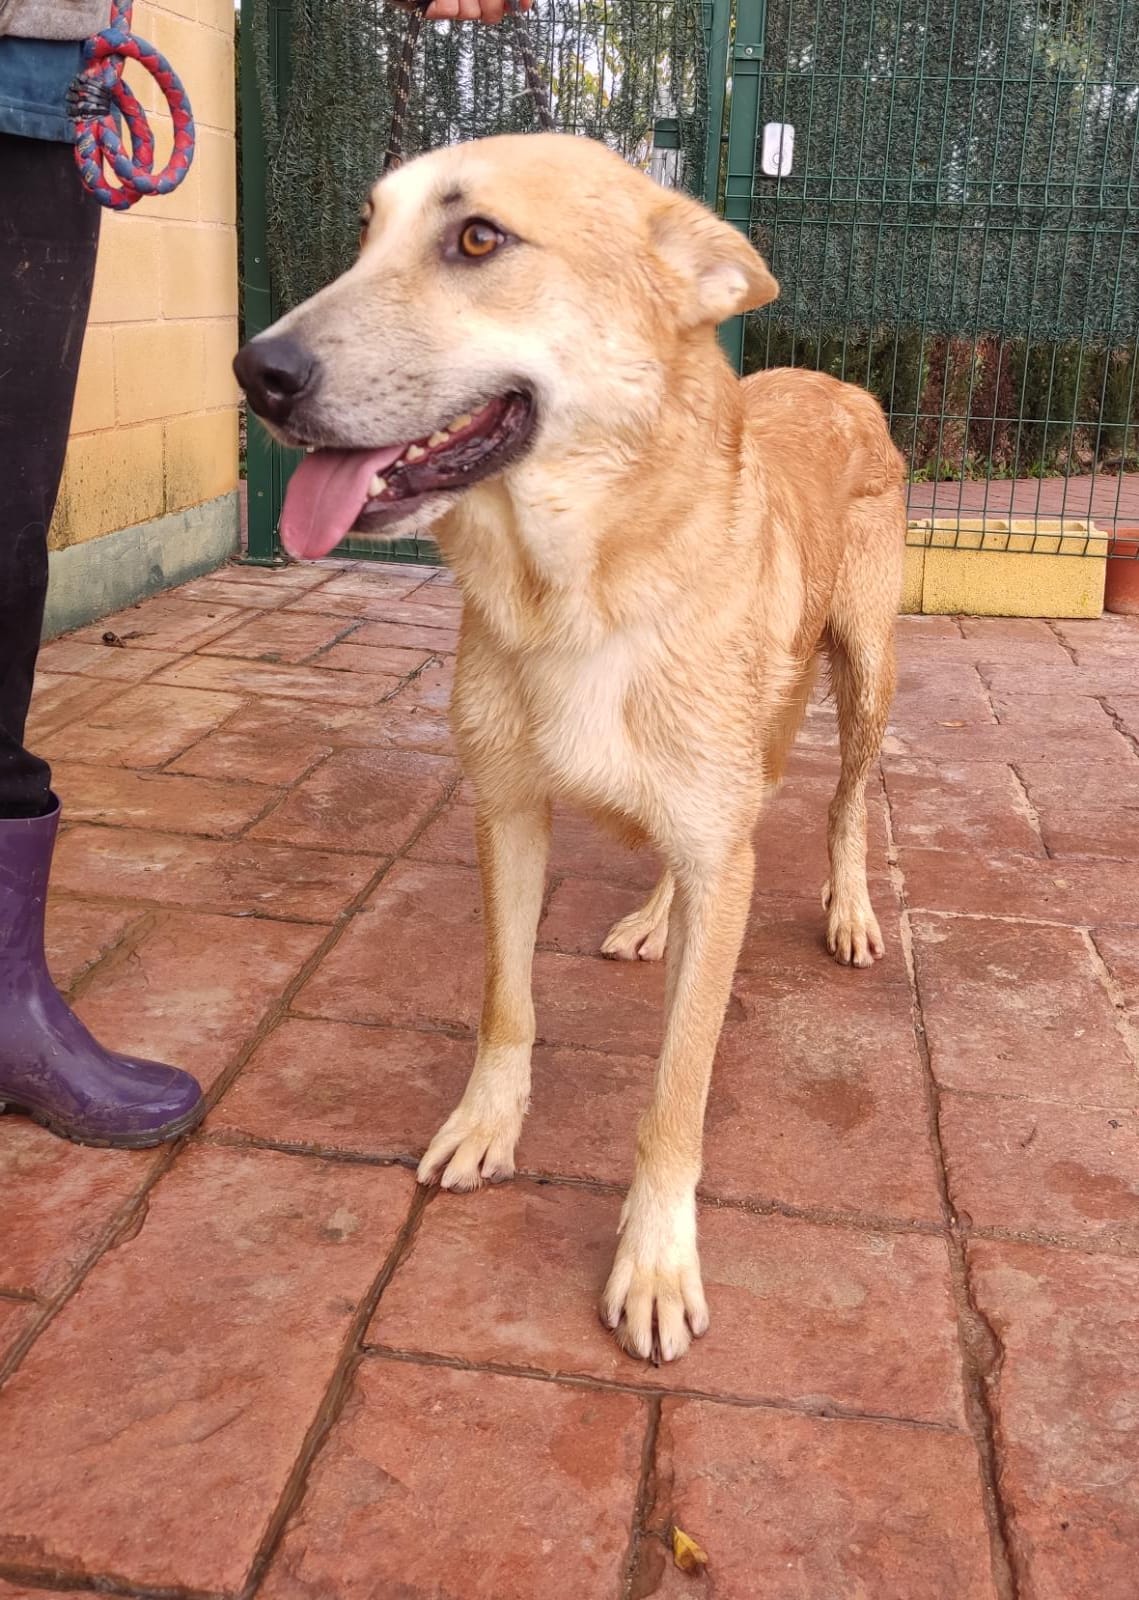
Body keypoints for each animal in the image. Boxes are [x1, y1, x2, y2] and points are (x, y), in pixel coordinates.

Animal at [234, 133, 905, 1363]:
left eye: (477, 238)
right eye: (365, 231)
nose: (254, 371)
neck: (578, 593)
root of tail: (832, 381)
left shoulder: (717, 847)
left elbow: (676, 1088)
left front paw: (654, 1259)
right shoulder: (505, 811)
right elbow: (508, 1000)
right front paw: (487, 1125)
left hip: (864, 673)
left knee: (836, 805)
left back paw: (844, 909)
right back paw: (653, 918)